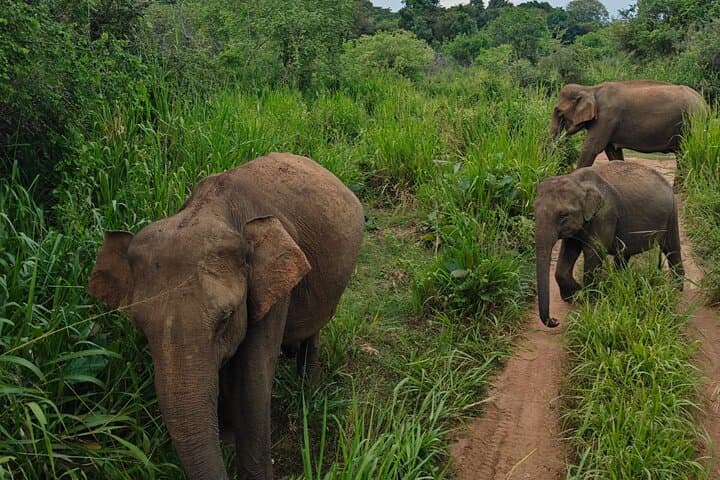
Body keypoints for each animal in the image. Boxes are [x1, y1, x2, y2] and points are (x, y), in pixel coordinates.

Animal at [87, 153, 365, 480]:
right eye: (141, 328)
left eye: (225, 319)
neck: (211, 209)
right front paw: (228, 440)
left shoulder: (270, 292)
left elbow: (251, 383)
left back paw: (307, 387)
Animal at [534, 161, 683, 328]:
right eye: (533, 211)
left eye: (562, 215)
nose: (555, 321)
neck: (577, 181)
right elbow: (570, 249)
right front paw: (574, 295)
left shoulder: (605, 215)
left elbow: (594, 252)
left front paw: (588, 300)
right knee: (624, 253)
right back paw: (622, 281)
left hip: (672, 214)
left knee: (671, 249)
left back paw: (677, 289)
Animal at [551, 80, 706, 168]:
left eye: (558, 111)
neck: (591, 89)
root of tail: (704, 104)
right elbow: (612, 151)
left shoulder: (606, 118)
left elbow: (592, 147)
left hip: (691, 123)